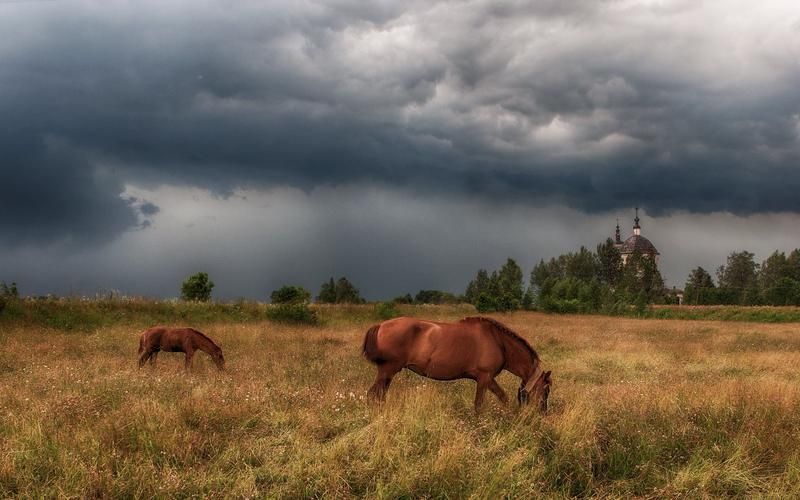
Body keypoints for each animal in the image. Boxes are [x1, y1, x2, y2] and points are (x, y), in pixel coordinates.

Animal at [362, 318, 552, 412]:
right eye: (546, 389)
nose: (543, 412)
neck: (499, 342)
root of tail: (381, 325)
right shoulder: (485, 378)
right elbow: (480, 405)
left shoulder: (487, 379)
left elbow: (500, 398)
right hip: (387, 370)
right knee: (373, 395)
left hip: (388, 373)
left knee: (379, 396)